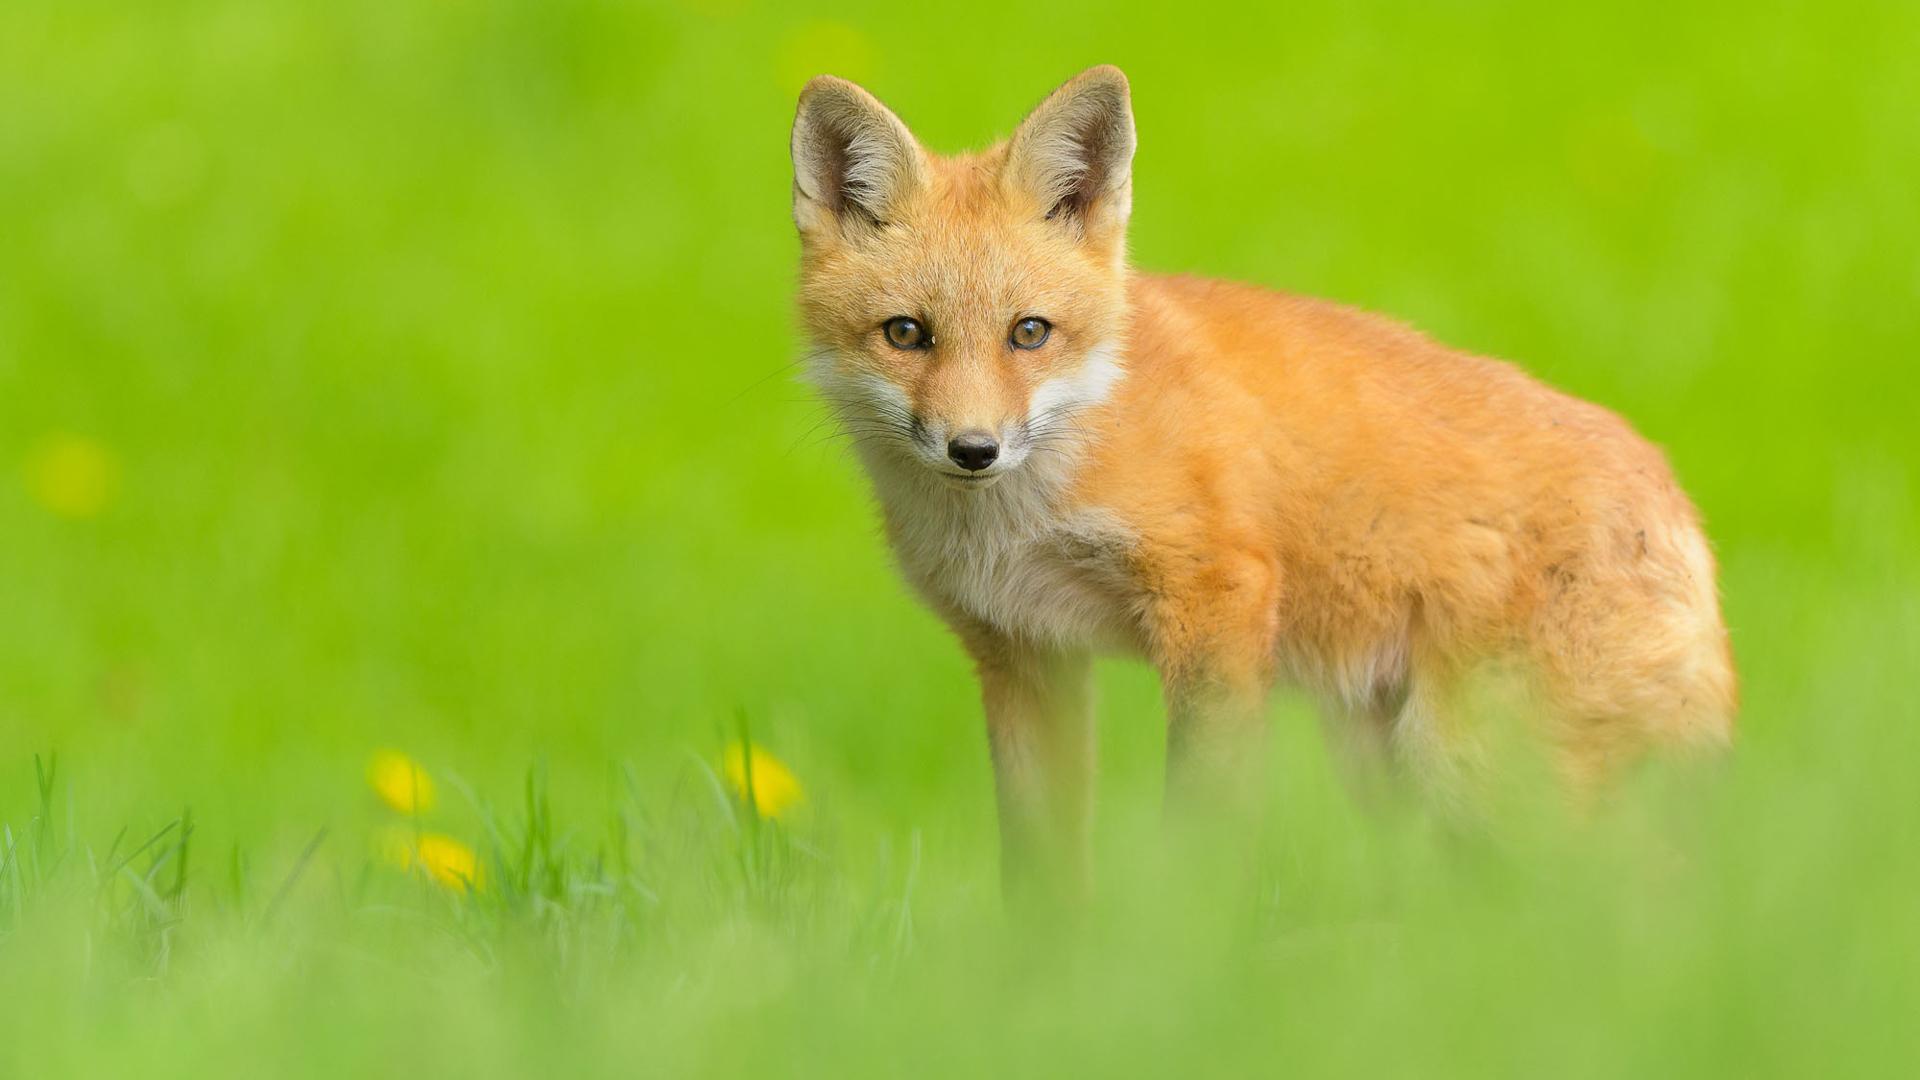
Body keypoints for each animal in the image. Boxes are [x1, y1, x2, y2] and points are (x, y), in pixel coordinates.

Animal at [790, 65, 1735, 899]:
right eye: (906, 333)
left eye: (1029, 333)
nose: (974, 449)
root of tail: (1675, 495)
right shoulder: (1024, 652)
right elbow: (1038, 871)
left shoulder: (1215, 598)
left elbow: (1202, 823)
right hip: (1393, 767)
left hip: (1478, 767)